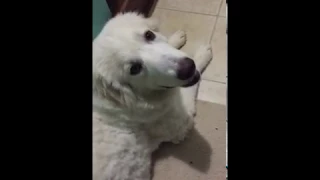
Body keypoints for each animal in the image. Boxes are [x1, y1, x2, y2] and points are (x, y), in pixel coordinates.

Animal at [92, 12, 212, 180]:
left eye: (149, 35)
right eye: (135, 69)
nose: (188, 68)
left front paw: (175, 38)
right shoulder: (181, 123)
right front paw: (202, 54)